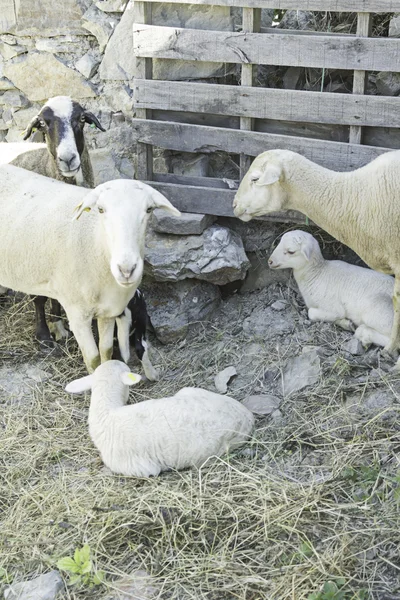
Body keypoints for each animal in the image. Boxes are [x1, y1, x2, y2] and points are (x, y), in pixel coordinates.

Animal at [0, 163, 180, 370]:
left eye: (149, 209)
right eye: (100, 209)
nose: (126, 270)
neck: (97, 243)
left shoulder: (109, 310)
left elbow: (106, 350)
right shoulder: (78, 315)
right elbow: (93, 358)